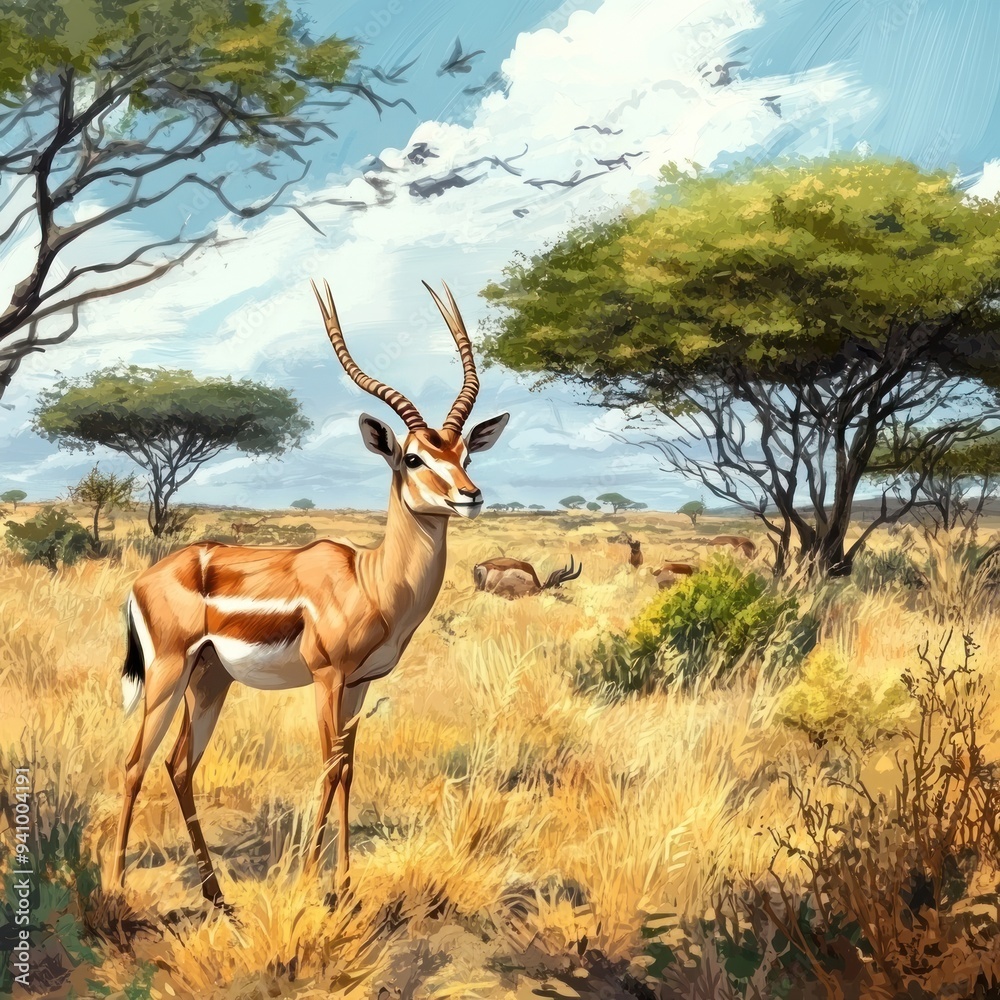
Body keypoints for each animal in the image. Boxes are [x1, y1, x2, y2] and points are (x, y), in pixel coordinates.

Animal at [111, 280, 509, 907]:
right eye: (413, 457)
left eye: (465, 454)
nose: (470, 495)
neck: (371, 579)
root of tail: (147, 578)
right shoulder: (326, 676)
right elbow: (326, 767)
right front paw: (307, 884)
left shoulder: (361, 684)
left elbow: (347, 769)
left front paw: (343, 885)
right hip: (168, 675)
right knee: (134, 763)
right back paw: (115, 888)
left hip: (210, 679)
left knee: (178, 765)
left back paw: (217, 894)